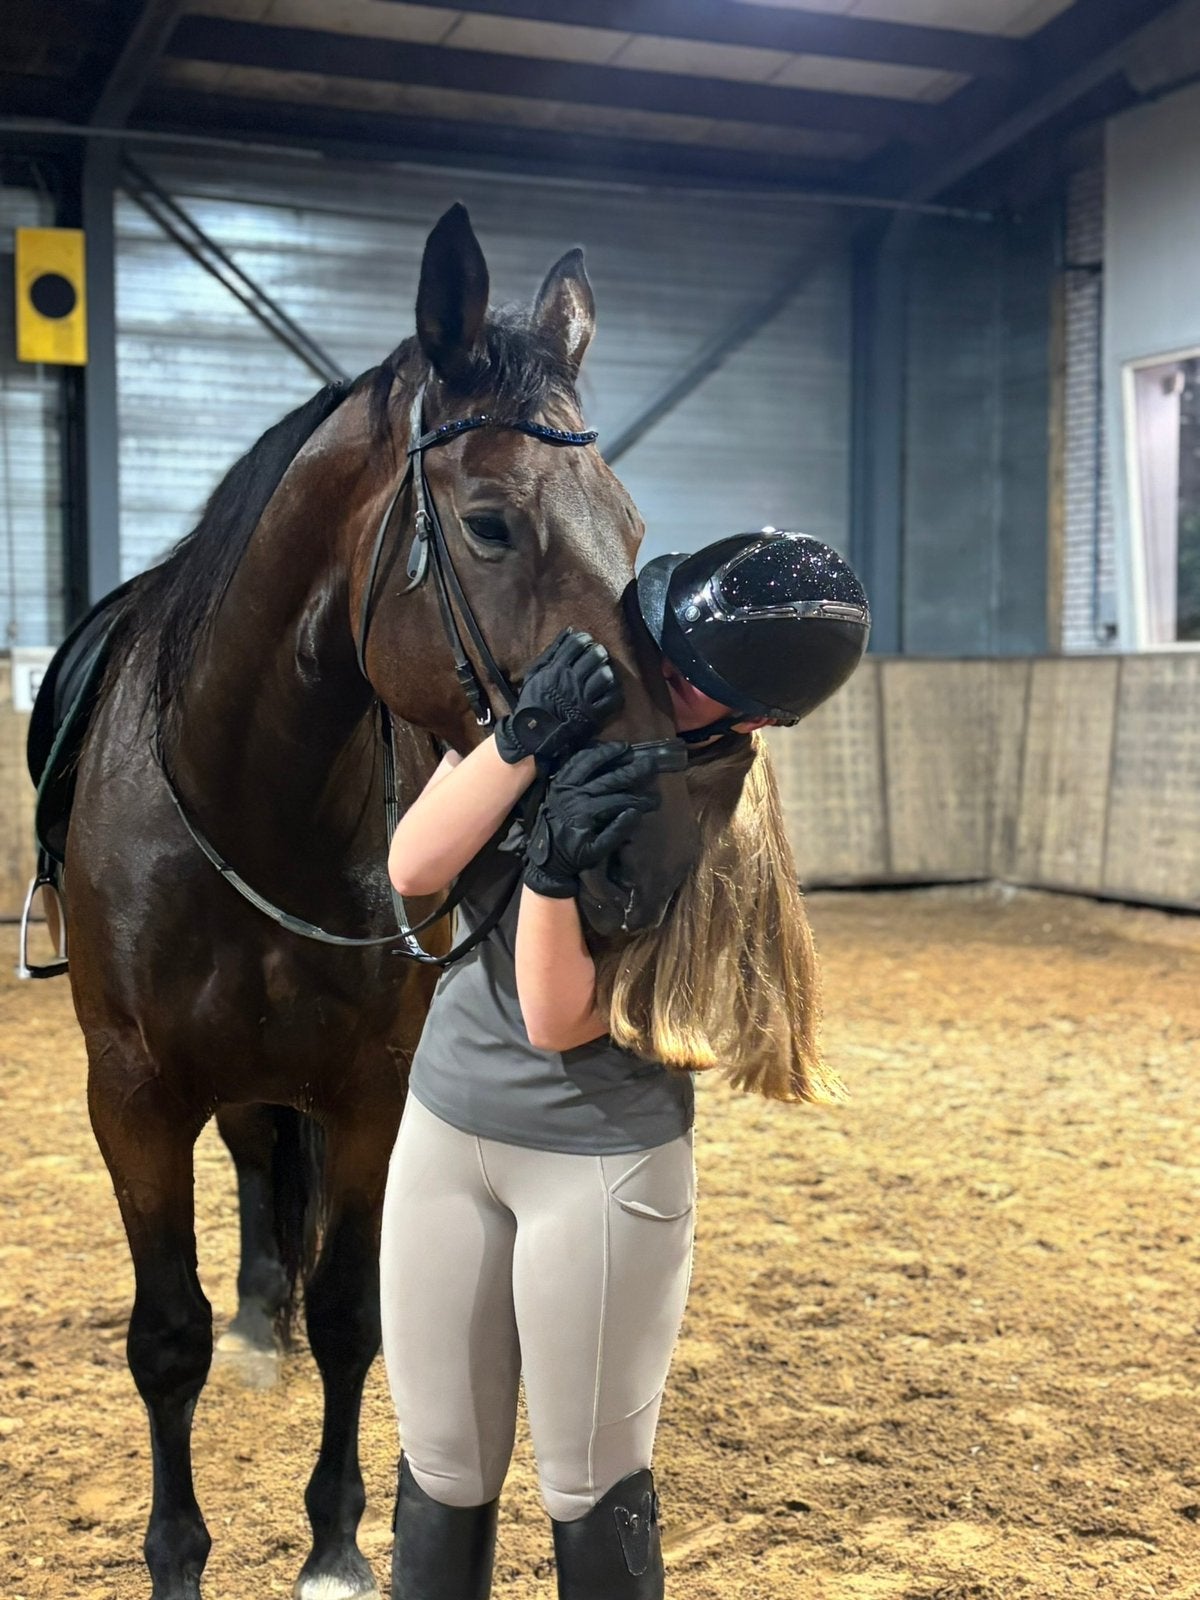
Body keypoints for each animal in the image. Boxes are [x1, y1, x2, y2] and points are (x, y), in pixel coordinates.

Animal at [58, 202, 700, 1600]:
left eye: (631, 527)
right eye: (492, 524)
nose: (661, 833)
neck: (254, 801)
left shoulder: (368, 1090)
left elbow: (358, 1313)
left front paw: (338, 1544)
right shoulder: (130, 1093)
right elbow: (165, 1338)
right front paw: (177, 1555)